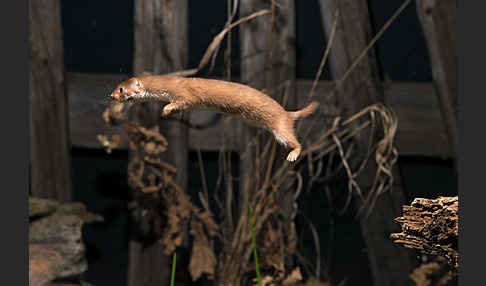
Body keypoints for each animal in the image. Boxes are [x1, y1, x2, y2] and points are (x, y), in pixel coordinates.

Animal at [109, 75, 318, 162]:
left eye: (121, 89)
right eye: (116, 86)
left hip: (280, 128)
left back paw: (292, 155)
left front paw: (166, 109)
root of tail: (287, 112)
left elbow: (183, 101)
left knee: (295, 141)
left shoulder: (184, 94)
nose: (110, 96)